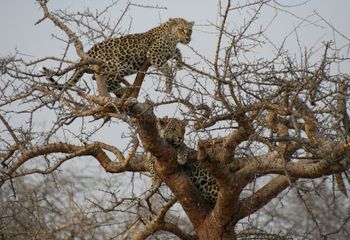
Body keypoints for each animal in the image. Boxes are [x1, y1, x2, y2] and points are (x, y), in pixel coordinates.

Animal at [44, 18, 194, 96]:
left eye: (190, 31)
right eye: (181, 29)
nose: (188, 38)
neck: (172, 37)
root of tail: (87, 54)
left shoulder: (169, 50)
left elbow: (177, 51)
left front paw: (179, 63)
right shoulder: (154, 53)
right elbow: (167, 69)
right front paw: (169, 87)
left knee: (98, 79)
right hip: (114, 65)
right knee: (108, 82)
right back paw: (123, 90)